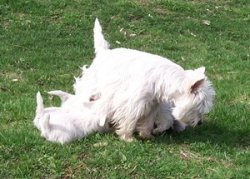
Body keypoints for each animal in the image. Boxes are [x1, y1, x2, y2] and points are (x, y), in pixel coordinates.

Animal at [73, 18, 215, 141]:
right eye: (202, 104)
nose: (200, 122)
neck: (163, 81)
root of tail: (104, 52)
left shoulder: (152, 105)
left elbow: (147, 121)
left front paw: (146, 135)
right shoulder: (132, 102)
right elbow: (129, 119)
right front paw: (127, 137)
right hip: (92, 85)